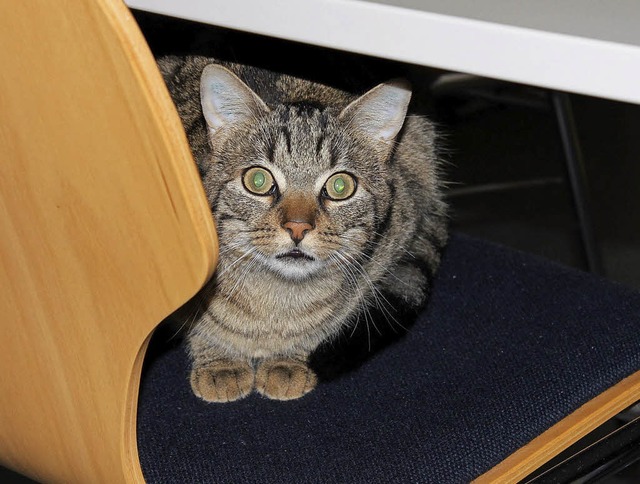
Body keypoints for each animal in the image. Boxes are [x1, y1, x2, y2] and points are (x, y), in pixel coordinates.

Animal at [158, 54, 448, 402]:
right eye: (258, 180)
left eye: (340, 186)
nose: (297, 227)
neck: (274, 305)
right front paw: (219, 359)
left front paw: (289, 359)